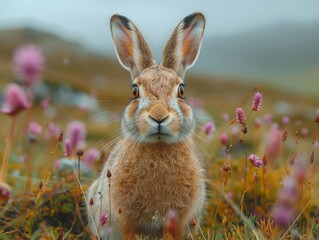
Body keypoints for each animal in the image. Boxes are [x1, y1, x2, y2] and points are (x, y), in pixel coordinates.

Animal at [87, 12, 208, 239]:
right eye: (134, 90)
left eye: (181, 90)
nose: (158, 116)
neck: (158, 147)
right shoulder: (125, 218)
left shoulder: (177, 220)